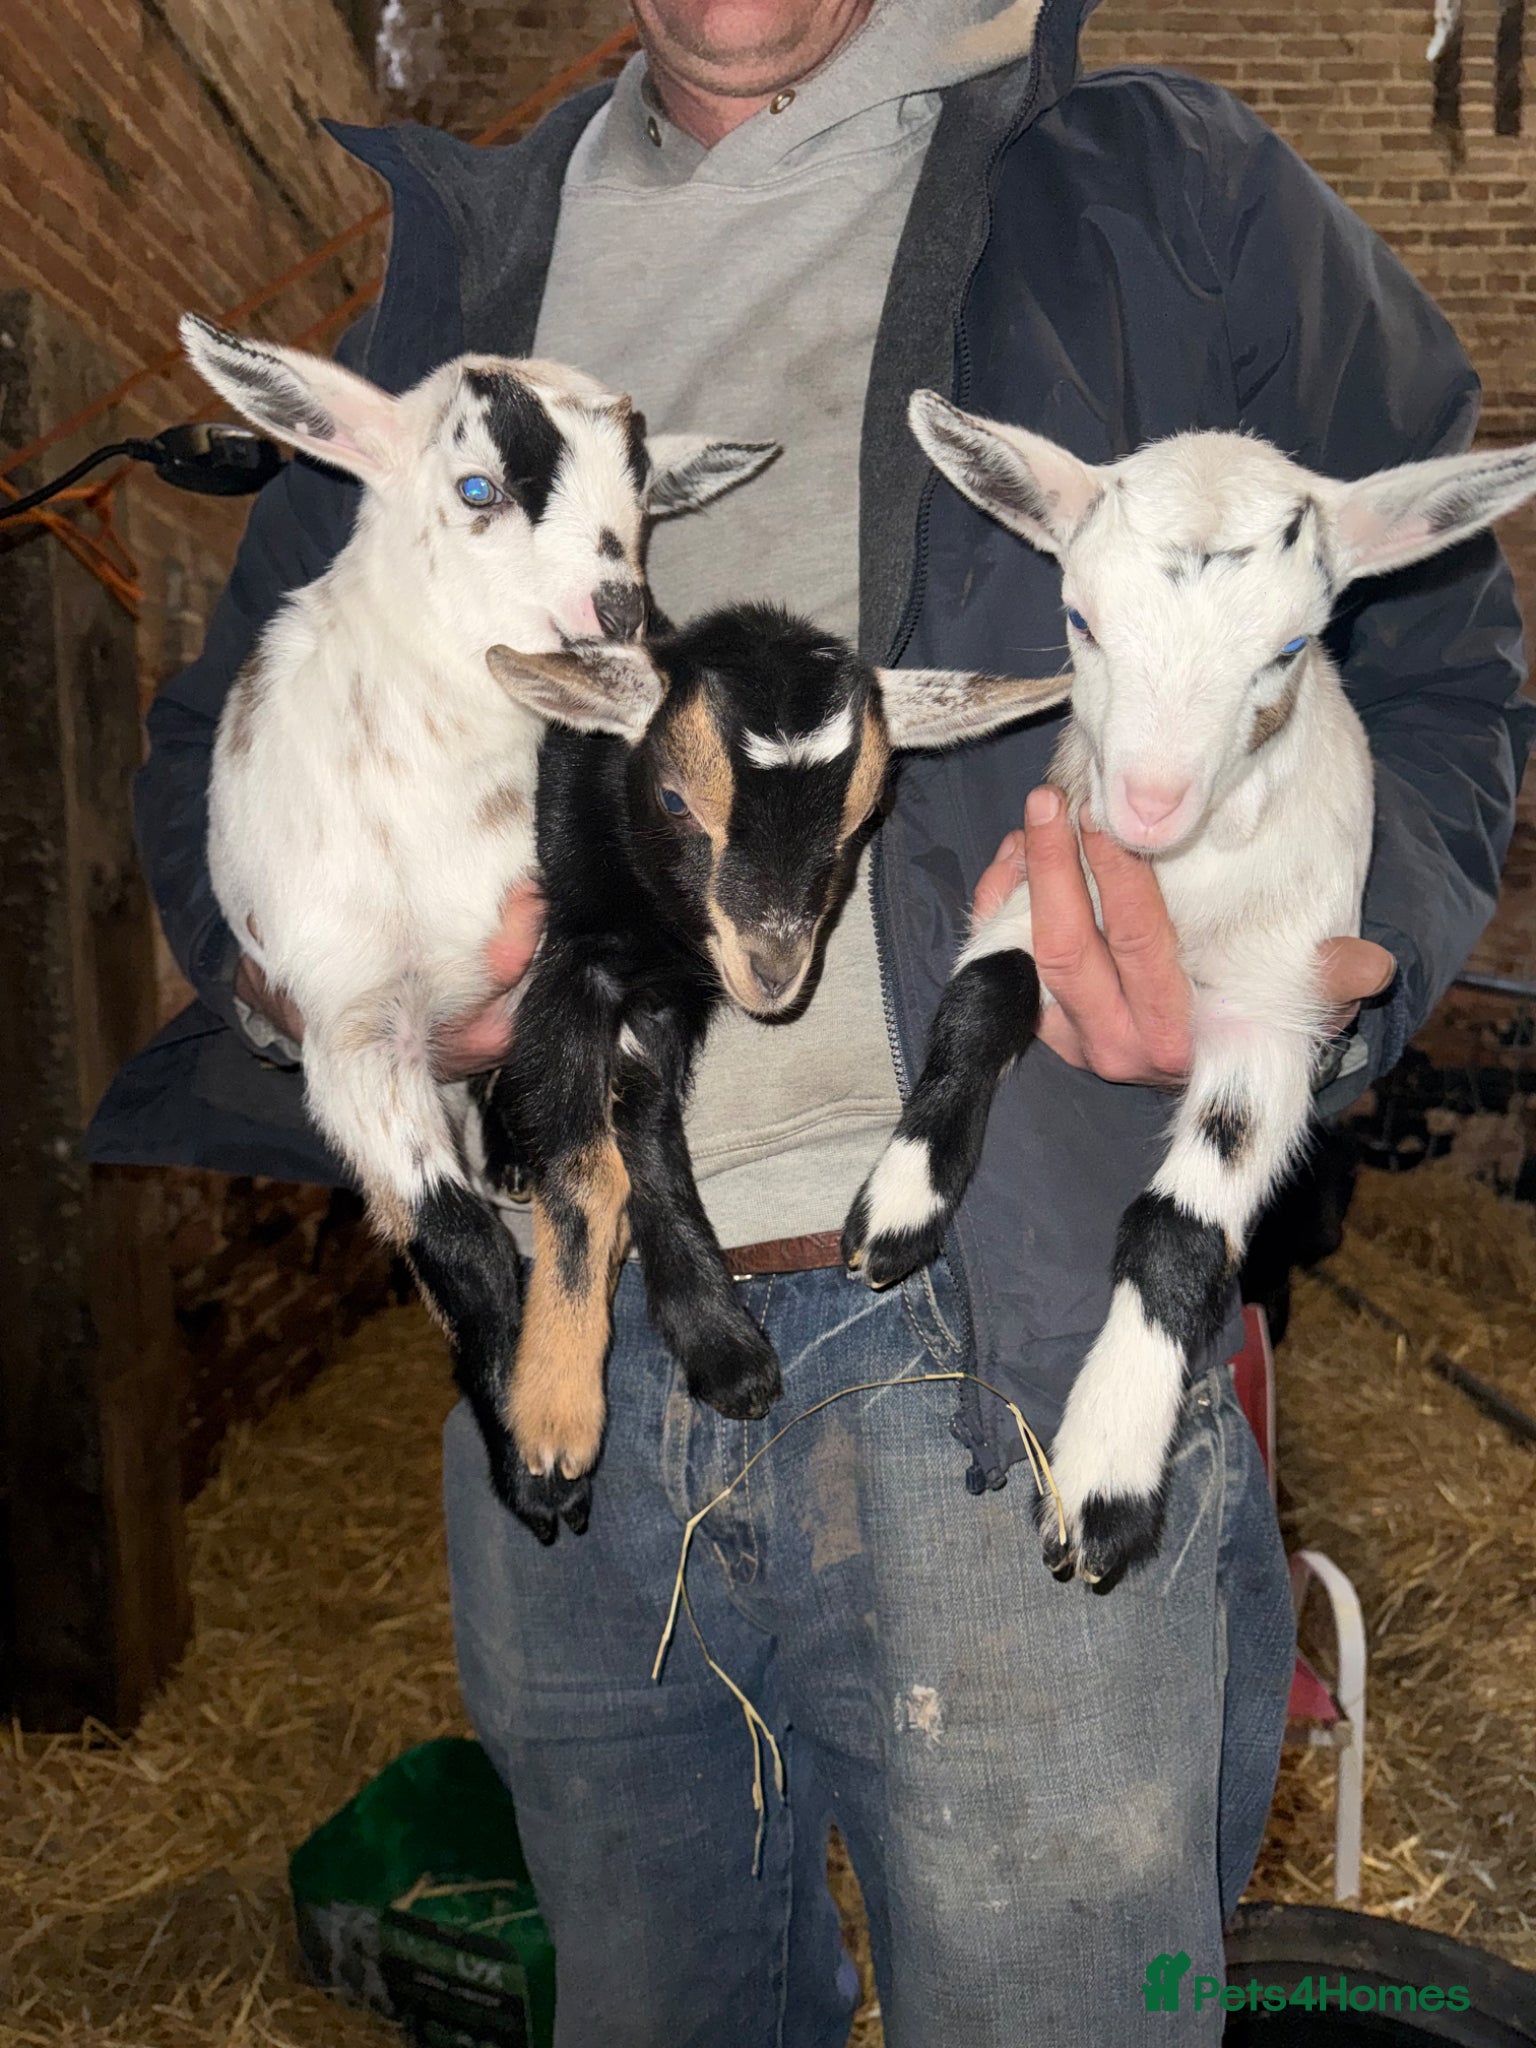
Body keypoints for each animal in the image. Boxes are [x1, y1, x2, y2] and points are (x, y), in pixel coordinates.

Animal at [181, 314, 776, 1525]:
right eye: (477, 488)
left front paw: (719, 1342)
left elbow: (642, 1144)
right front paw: (534, 1457)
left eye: (645, 502)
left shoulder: (602, 954)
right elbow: (452, 1238)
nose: (620, 610)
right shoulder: (353, 1025)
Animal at [475, 605, 1075, 1540]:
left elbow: (643, 1128)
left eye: (867, 813)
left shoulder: (668, 1003)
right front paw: (554, 1417)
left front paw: (720, 1349)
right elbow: (585, 1168)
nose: (773, 969)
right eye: (675, 799)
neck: (661, 933)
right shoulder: (576, 952)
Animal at [844, 389, 1536, 1584]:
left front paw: (1106, 1480)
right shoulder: (1039, 892)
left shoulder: (1275, 1013)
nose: (1149, 802)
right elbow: (975, 1007)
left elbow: (1179, 1221)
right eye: (1080, 620)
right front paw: (901, 1202)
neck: (1186, 882)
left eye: (1292, 646)